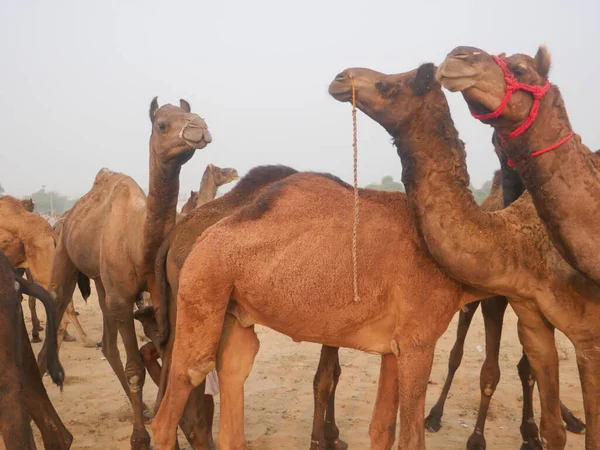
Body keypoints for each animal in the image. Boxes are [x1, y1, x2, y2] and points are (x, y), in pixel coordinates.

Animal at [36, 96, 212, 448]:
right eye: (162, 124)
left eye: (193, 112)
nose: (198, 128)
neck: (138, 244)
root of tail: (64, 217)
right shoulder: (122, 299)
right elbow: (135, 370)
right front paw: (139, 438)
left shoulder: (156, 297)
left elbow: (163, 354)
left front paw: (165, 426)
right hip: (64, 254)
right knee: (57, 301)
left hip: (101, 281)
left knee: (107, 342)